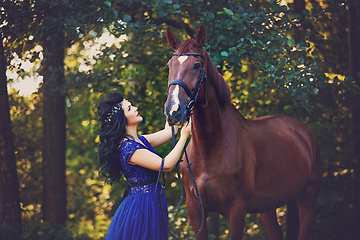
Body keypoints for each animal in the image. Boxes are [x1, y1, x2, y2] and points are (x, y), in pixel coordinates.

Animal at [165, 25, 322, 239]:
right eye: (169, 65)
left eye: (197, 65)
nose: (173, 110)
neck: (211, 148)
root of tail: (305, 133)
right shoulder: (195, 210)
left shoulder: (237, 210)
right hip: (267, 206)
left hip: (307, 198)